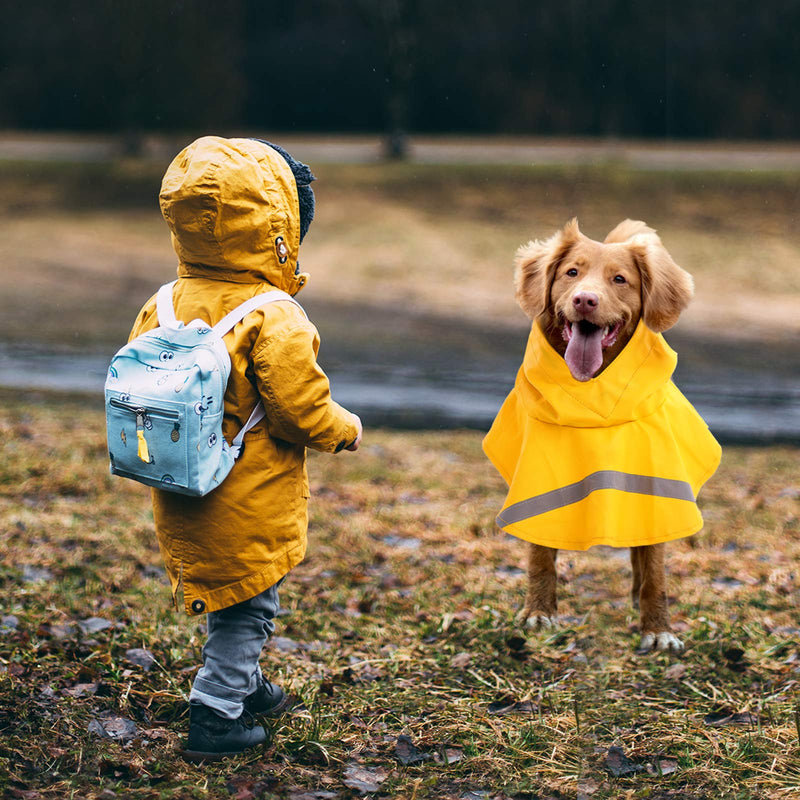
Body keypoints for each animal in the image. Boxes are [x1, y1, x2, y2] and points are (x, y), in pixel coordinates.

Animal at [484, 217, 720, 648]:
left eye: (620, 279)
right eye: (571, 273)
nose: (585, 301)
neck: (592, 388)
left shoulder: (654, 484)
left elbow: (655, 572)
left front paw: (658, 630)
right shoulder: (542, 480)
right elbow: (541, 556)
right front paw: (538, 612)